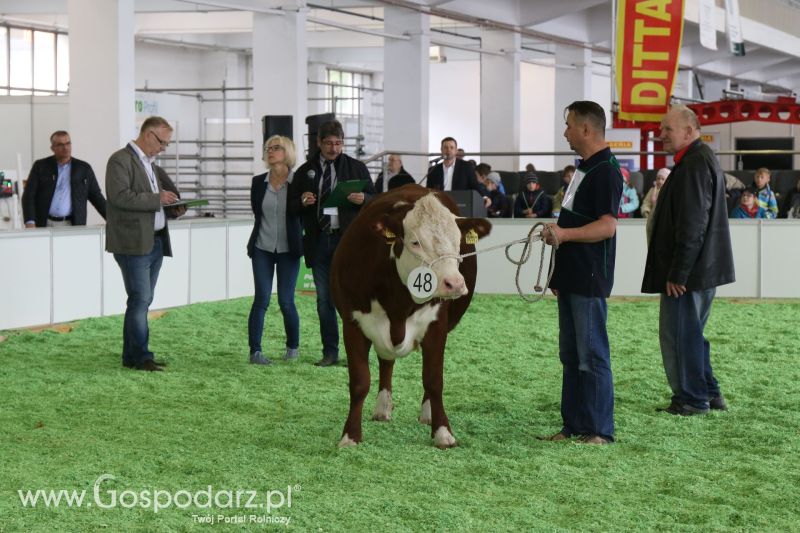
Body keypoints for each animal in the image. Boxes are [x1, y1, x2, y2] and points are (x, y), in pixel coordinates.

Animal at [330, 185, 490, 446]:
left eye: (458, 242)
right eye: (415, 242)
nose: (454, 283)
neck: (398, 303)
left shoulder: (437, 325)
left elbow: (434, 380)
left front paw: (443, 432)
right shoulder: (352, 323)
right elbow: (360, 382)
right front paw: (350, 435)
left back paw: (427, 413)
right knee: (386, 362)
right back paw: (382, 408)